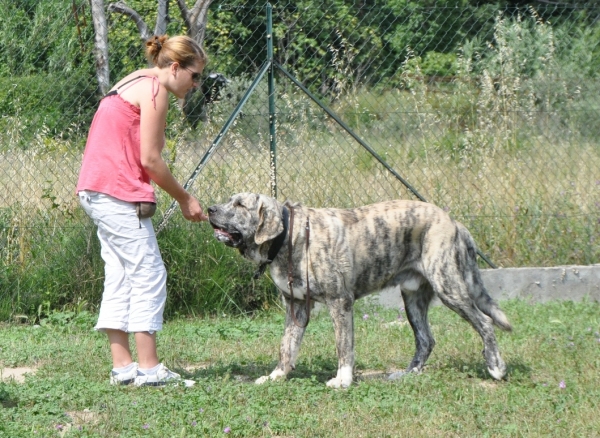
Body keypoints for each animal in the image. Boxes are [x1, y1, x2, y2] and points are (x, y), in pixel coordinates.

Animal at [207, 193, 510, 388]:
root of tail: (454, 222)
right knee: (426, 339)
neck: (288, 237)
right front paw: (277, 376)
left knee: (484, 322)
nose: (210, 209)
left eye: (239, 204)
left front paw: (343, 380)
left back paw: (496, 367)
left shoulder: (339, 301)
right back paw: (407, 374)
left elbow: (344, 346)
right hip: (413, 298)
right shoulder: (297, 307)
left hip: (448, 286)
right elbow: (286, 346)